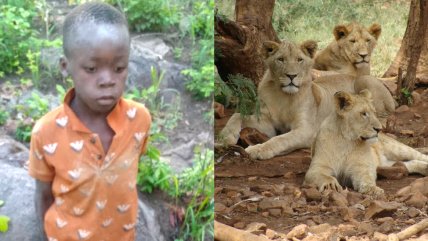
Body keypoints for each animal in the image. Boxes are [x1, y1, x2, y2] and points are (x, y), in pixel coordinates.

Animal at [221, 39, 394, 160]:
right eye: (281, 59)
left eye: (299, 59)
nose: (291, 76)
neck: (283, 96)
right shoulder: (266, 123)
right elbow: (237, 115)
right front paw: (225, 137)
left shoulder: (306, 130)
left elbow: (280, 139)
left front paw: (258, 150)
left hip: (364, 81)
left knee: (384, 116)